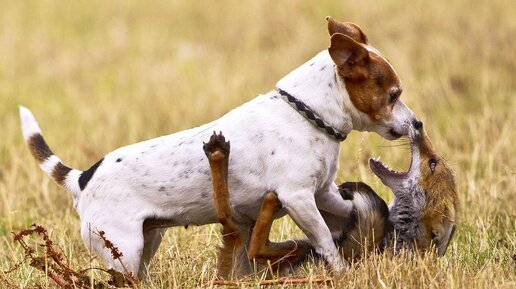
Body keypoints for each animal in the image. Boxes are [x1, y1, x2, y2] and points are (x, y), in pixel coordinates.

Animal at [19, 17, 420, 276]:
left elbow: (349, 210)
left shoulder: (322, 193)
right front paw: (340, 271)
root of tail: (82, 178)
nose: (418, 124)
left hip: (146, 242)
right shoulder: (298, 198)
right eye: (394, 94)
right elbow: (323, 238)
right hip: (124, 250)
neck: (308, 115)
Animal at [204, 124, 458, 276]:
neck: (394, 238)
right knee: (234, 223)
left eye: (432, 163)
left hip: (287, 247)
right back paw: (218, 152)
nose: (418, 125)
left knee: (242, 233)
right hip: (296, 245)